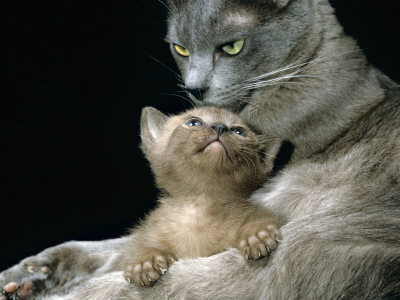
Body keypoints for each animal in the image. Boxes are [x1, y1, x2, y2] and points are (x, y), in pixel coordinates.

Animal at [123, 106, 282, 288]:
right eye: (194, 122)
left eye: (239, 131)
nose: (220, 126)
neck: (200, 206)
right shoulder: (144, 234)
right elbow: (141, 247)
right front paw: (145, 262)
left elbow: (260, 219)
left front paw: (256, 235)